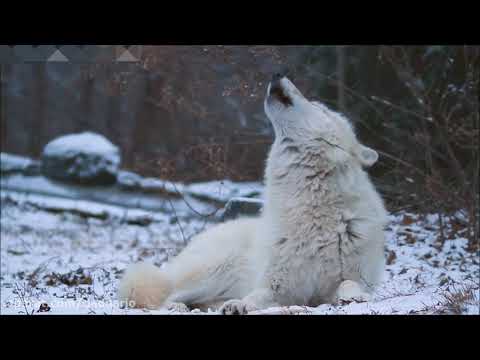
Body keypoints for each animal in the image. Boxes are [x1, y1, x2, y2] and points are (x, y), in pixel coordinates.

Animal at [117, 74, 390, 314]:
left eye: (318, 106)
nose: (277, 74)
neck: (311, 211)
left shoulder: (349, 277)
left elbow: (349, 283)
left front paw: (354, 296)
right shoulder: (275, 285)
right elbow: (256, 295)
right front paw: (240, 305)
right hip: (214, 270)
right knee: (167, 296)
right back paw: (181, 306)